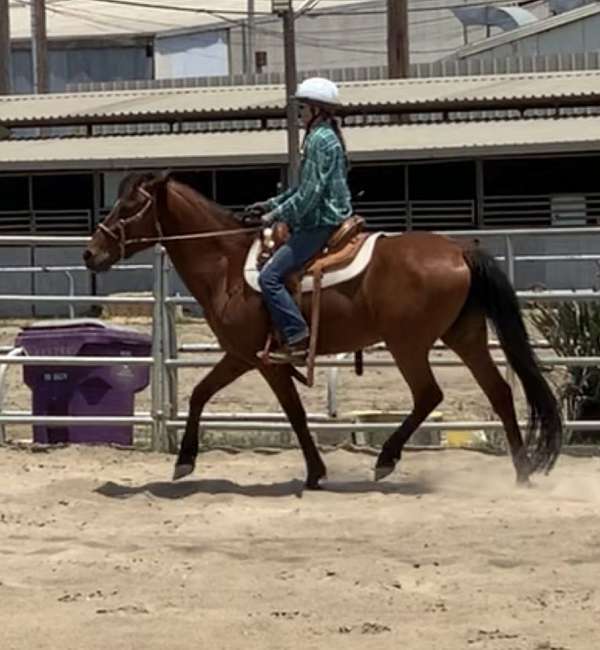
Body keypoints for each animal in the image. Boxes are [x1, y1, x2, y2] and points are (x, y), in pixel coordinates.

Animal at [82, 172, 560, 486]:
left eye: (130, 205)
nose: (90, 253)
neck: (229, 267)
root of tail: (460, 250)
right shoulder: (240, 356)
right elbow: (202, 394)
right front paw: (187, 460)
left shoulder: (259, 359)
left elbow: (288, 411)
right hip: (465, 337)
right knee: (499, 392)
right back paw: (521, 472)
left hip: (408, 344)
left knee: (430, 395)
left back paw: (386, 460)